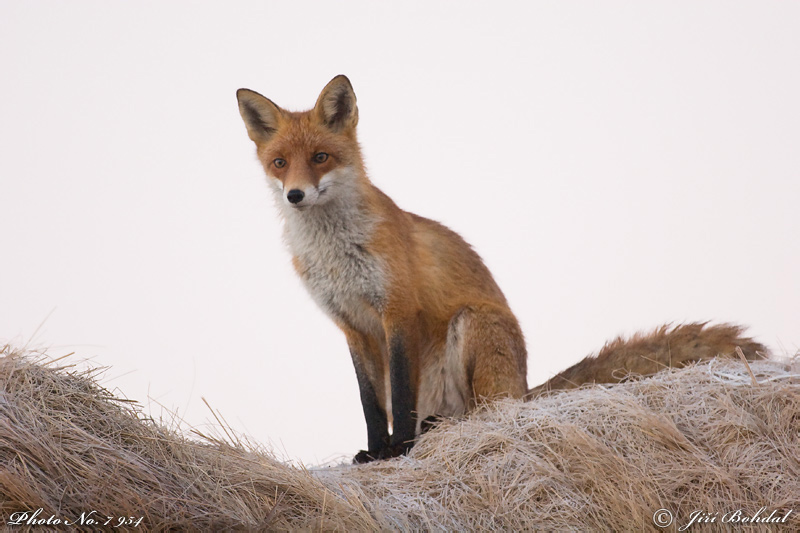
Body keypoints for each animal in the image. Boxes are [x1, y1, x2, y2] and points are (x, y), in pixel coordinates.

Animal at [236, 75, 767, 463]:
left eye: (320, 157)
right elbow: (372, 405)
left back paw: (443, 428)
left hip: (473, 326)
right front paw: (374, 451)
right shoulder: (353, 327)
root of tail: (526, 388)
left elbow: (400, 398)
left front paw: (399, 450)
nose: (295, 195)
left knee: (489, 413)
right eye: (280, 162)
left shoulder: (398, 312)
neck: (336, 250)